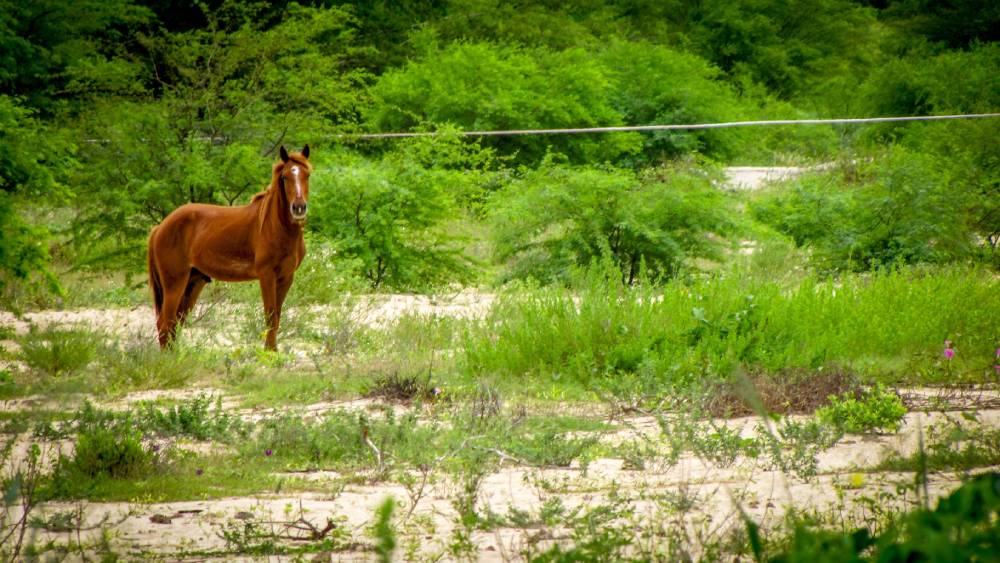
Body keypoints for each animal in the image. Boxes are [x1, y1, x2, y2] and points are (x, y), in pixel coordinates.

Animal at [148, 143, 310, 350]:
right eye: (285, 177)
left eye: (307, 175)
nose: (299, 208)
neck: (275, 226)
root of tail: (160, 227)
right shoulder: (266, 275)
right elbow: (270, 316)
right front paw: (269, 353)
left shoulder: (286, 277)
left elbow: (277, 318)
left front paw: (273, 351)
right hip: (174, 283)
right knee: (165, 323)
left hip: (193, 282)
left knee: (175, 323)